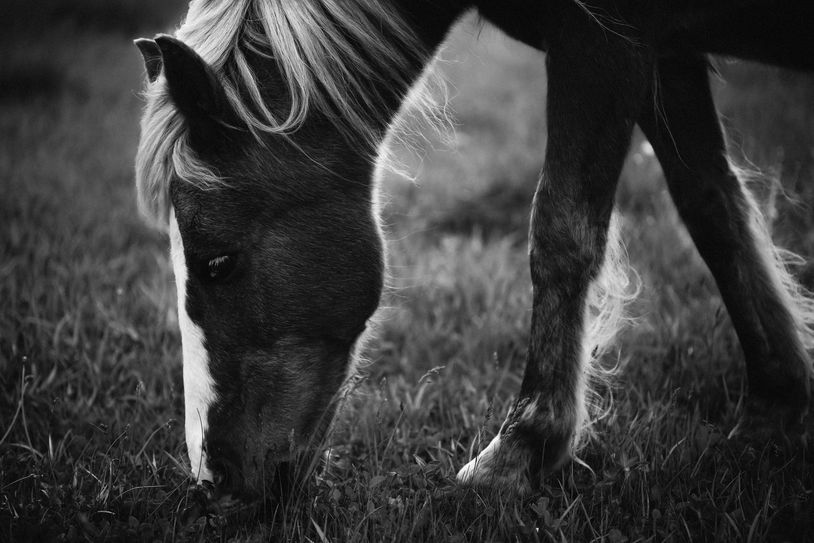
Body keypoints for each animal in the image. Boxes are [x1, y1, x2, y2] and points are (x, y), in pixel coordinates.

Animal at [134, 0, 814, 499]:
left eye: (218, 263)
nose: (212, 476)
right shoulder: (665, 54)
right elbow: (714, 212)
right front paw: (773, 409)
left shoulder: (603, 44)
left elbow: (561, 233)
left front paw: (521, 450)